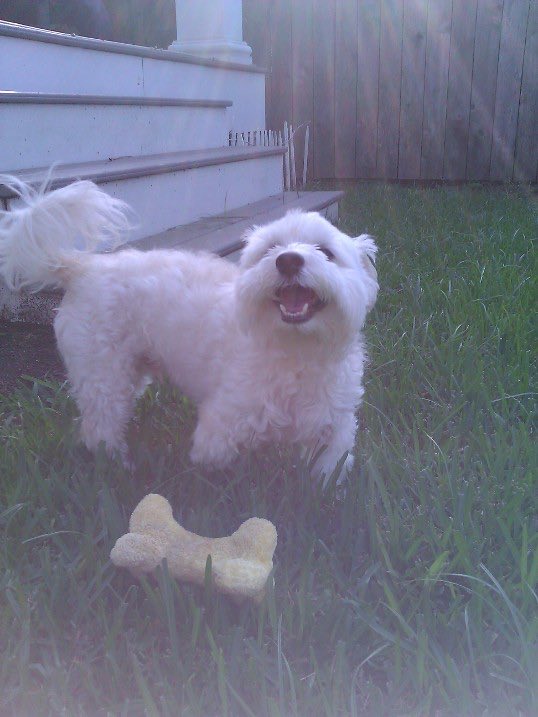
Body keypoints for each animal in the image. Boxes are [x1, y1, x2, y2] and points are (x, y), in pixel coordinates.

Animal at [0, 178, 376, 482]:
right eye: (270, 249)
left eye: (326, 252)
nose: (288, 260)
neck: (296, 351)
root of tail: (83, 266)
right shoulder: (221, 428)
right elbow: (220, 469)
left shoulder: (334, 430)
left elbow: (326, 475)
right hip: (103, 375)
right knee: (100, 429)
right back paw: (120, 467)